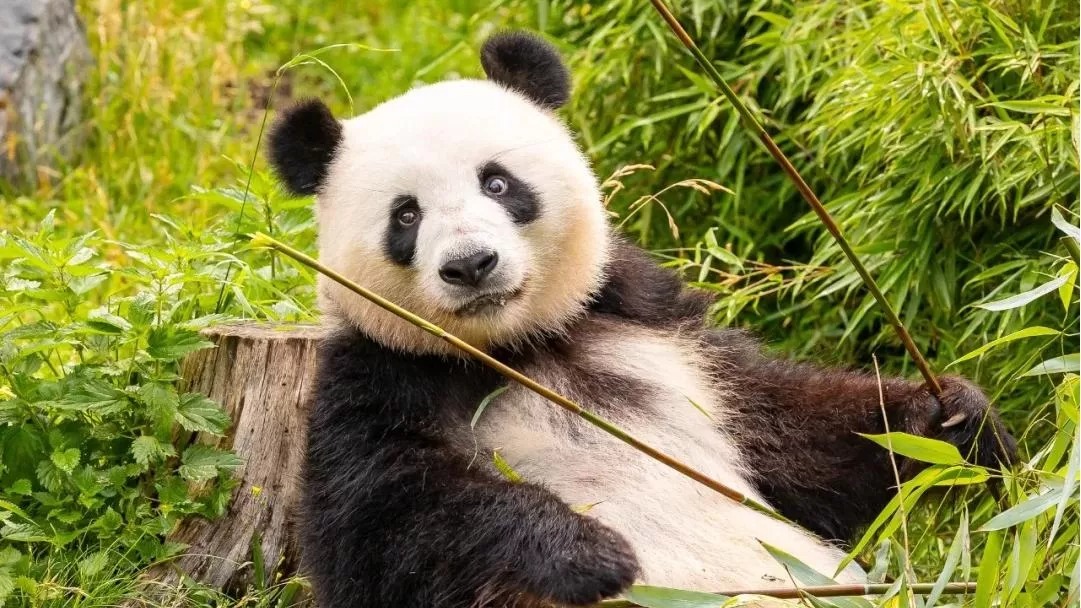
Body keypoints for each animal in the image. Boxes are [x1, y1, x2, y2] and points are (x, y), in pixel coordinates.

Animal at [266, 31, 1016, 608]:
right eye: (406, 215)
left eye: (497, 182)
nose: (471, 264)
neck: (516, 347)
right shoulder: (380, 375)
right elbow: (382, 527)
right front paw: (584, 552)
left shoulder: (655, 325)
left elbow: (797, 434)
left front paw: (953, 418)